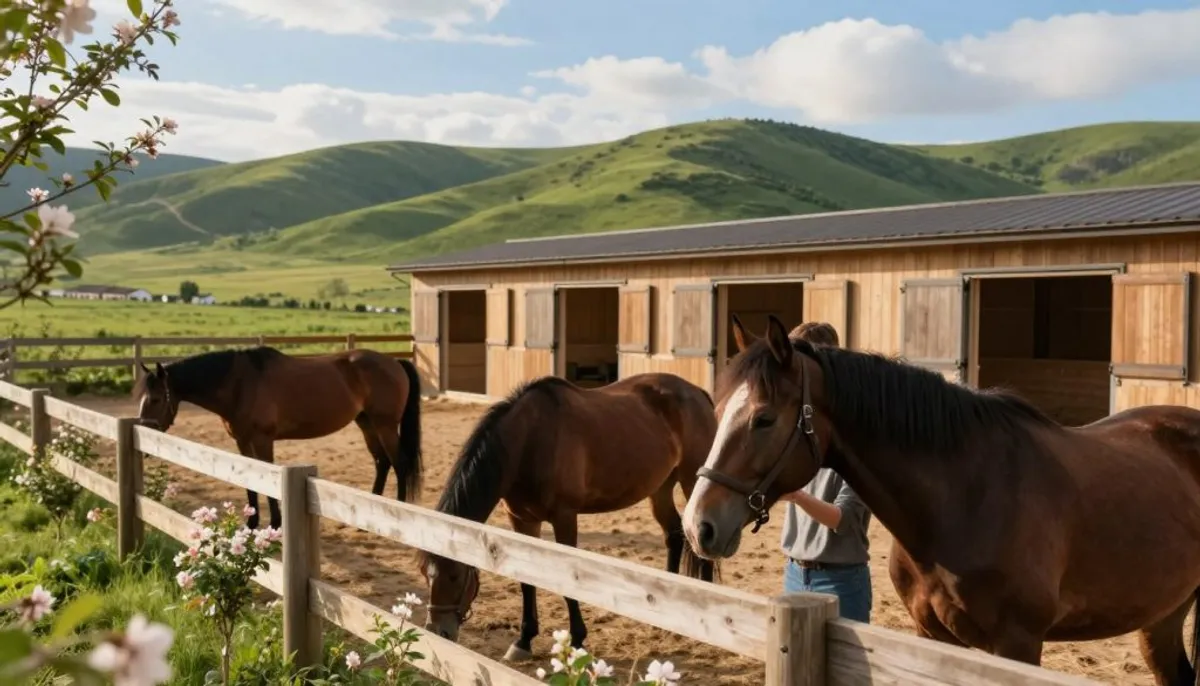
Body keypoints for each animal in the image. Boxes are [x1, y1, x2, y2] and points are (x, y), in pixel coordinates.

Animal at [134, 346, 423, 530]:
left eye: (156, 399)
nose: (144, 432)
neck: (240, 384)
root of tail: (395, 362)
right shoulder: (242, 441)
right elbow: (250, 482)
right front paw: (251, 522)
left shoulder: (263, 440)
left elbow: (267, 479)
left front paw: (275, 523)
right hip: (367, 424)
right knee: (382, 462)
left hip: (385, 425)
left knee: (399, 463)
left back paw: (399, 513)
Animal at [417, 372, 720, 661]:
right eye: (425, 574)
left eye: (455, 575)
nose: (438, 631)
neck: (528, 441)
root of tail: (697, 392)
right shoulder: (522, 519)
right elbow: (526, 581)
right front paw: (523, 640)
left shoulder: (564, 517)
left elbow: (568, 583)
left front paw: (577, 641)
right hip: (659, 489)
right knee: (673, 534)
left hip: (693, 482)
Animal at [683, 314, 1200, 686]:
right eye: (717, 408)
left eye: (764, 419)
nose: (698, 525)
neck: (968, 499)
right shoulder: (931, 635)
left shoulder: (1018, 646)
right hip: (1163, 617)